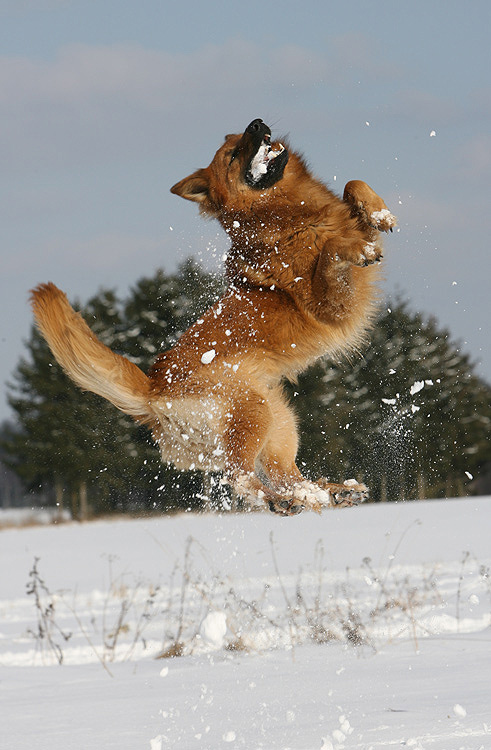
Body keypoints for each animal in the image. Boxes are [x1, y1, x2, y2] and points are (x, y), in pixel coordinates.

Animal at [31, 119, 396, 516]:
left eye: (240, 139)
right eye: (233, 155)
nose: (256, 123)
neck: (285, 215)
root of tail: (152, 388)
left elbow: (353, 184)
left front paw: (379, 212)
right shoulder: (333, 305)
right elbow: (332, 252)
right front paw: (354, 247)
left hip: (280, 420)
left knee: (286, 475)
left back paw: (331, 493)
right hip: (253, 412)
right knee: (242, 476)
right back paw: (281, 501)